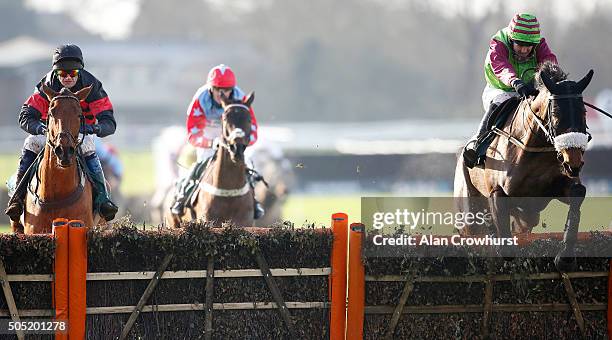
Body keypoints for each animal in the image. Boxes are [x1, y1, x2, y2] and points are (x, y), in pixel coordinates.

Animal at [456, 62, 596, 270]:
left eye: (583, 112)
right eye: (556, 114)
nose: (573, 162)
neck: (533, 149)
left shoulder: (554, 190)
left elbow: (577, 195)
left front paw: (565, 256)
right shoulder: (498, 191)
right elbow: (504, 237)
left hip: (528, 216)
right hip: (469, 212)